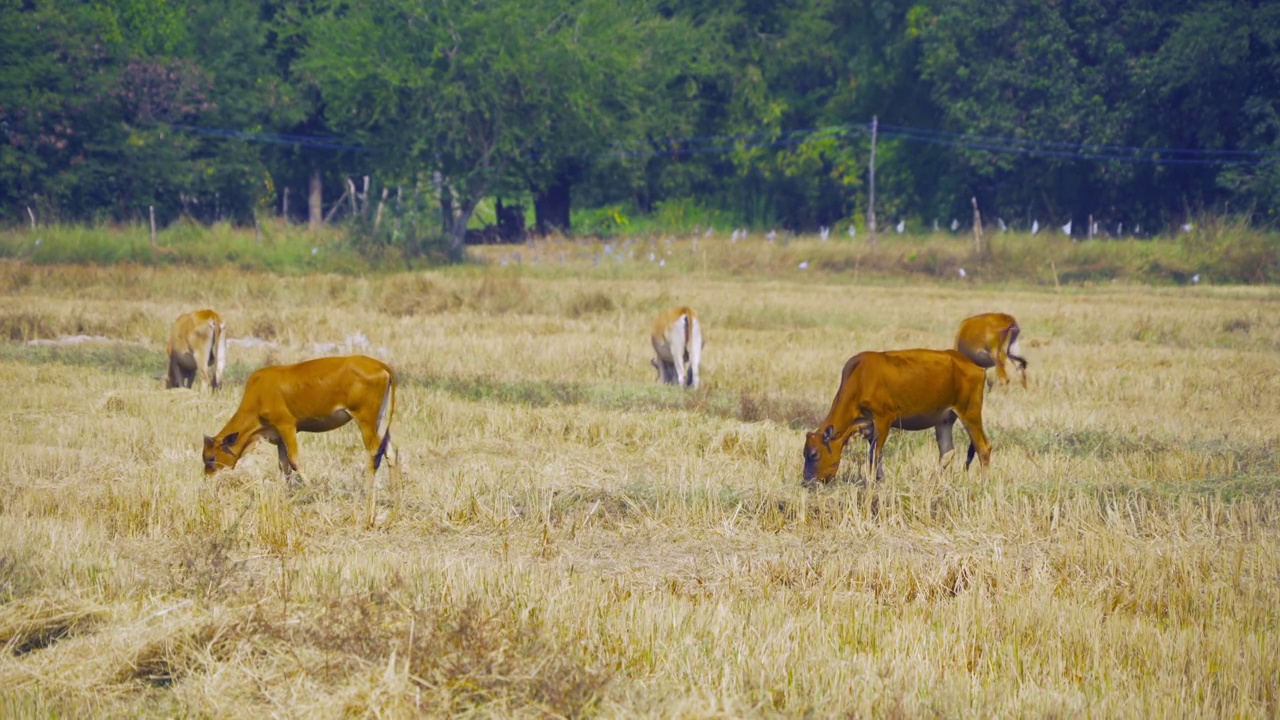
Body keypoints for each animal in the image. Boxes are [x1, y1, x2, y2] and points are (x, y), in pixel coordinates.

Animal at [200, 356, 394, 525]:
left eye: (211, 458)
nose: (207, 482)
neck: (258, 395)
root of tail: (381, 365)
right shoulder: (279, 437)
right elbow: (283, 466)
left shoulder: (287, 426)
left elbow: (294, 461)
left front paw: (312, 491)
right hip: (380, 420)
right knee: (390, 452)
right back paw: (396, 494)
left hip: (365, 420)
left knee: (374, 451)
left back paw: (366, 492)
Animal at [798, 345, 988, 484]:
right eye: (804, 453)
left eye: (814, 454)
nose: (807, 483)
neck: (860, 377)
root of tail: (975, 366)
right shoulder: (869, 425)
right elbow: (877, 454)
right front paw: (879, 480)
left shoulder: (883, 418)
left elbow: (874, 454)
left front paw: (871, 483)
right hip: (944, 420)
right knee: (947, 452)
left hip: (970, 412)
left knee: (983, 448)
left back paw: (983, 484)